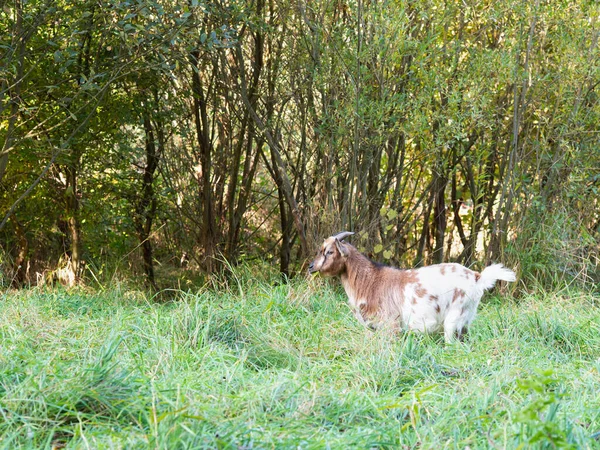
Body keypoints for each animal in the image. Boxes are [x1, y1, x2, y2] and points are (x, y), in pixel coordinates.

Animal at [310, 232, 516, 342]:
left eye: (329, 252)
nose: (311, 266)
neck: (370, 281)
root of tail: (477, 277)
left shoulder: (390, 325)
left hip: (454, 317)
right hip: (465, 319)